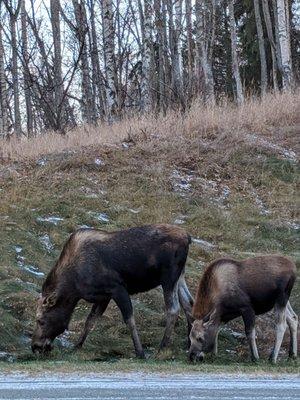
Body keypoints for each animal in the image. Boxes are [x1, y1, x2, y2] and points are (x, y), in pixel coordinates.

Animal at [31, 223, 195, 358]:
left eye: (41, 320)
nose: (35, 346)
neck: (74, 288)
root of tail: (188, 237)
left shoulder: (117, 288)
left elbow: (129, 320)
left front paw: (140, 352)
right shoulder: (103, 296)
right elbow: (90, 321)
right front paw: (76, 346)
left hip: (168, 277)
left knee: (173, 309)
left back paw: (161, 348)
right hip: (180, 275)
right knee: (189, 303)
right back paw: (189, 343)